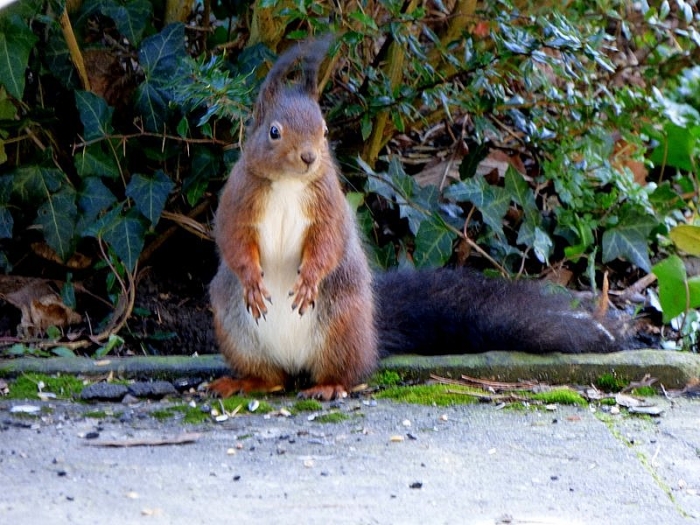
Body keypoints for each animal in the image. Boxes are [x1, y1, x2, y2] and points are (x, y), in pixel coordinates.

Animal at [208, 36, 620, 401]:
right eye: (274, 132)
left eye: (324, 130)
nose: (309, 157)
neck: (289, 185)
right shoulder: (237, 201)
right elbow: (233, 240)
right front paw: (252, 280)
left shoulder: (329, 206)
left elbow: (328, 242)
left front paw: (309, 279)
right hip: (234, 330)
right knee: (273, 378)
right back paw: (246, 382)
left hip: (342, 325)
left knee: (345, 371)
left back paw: (328, 386)